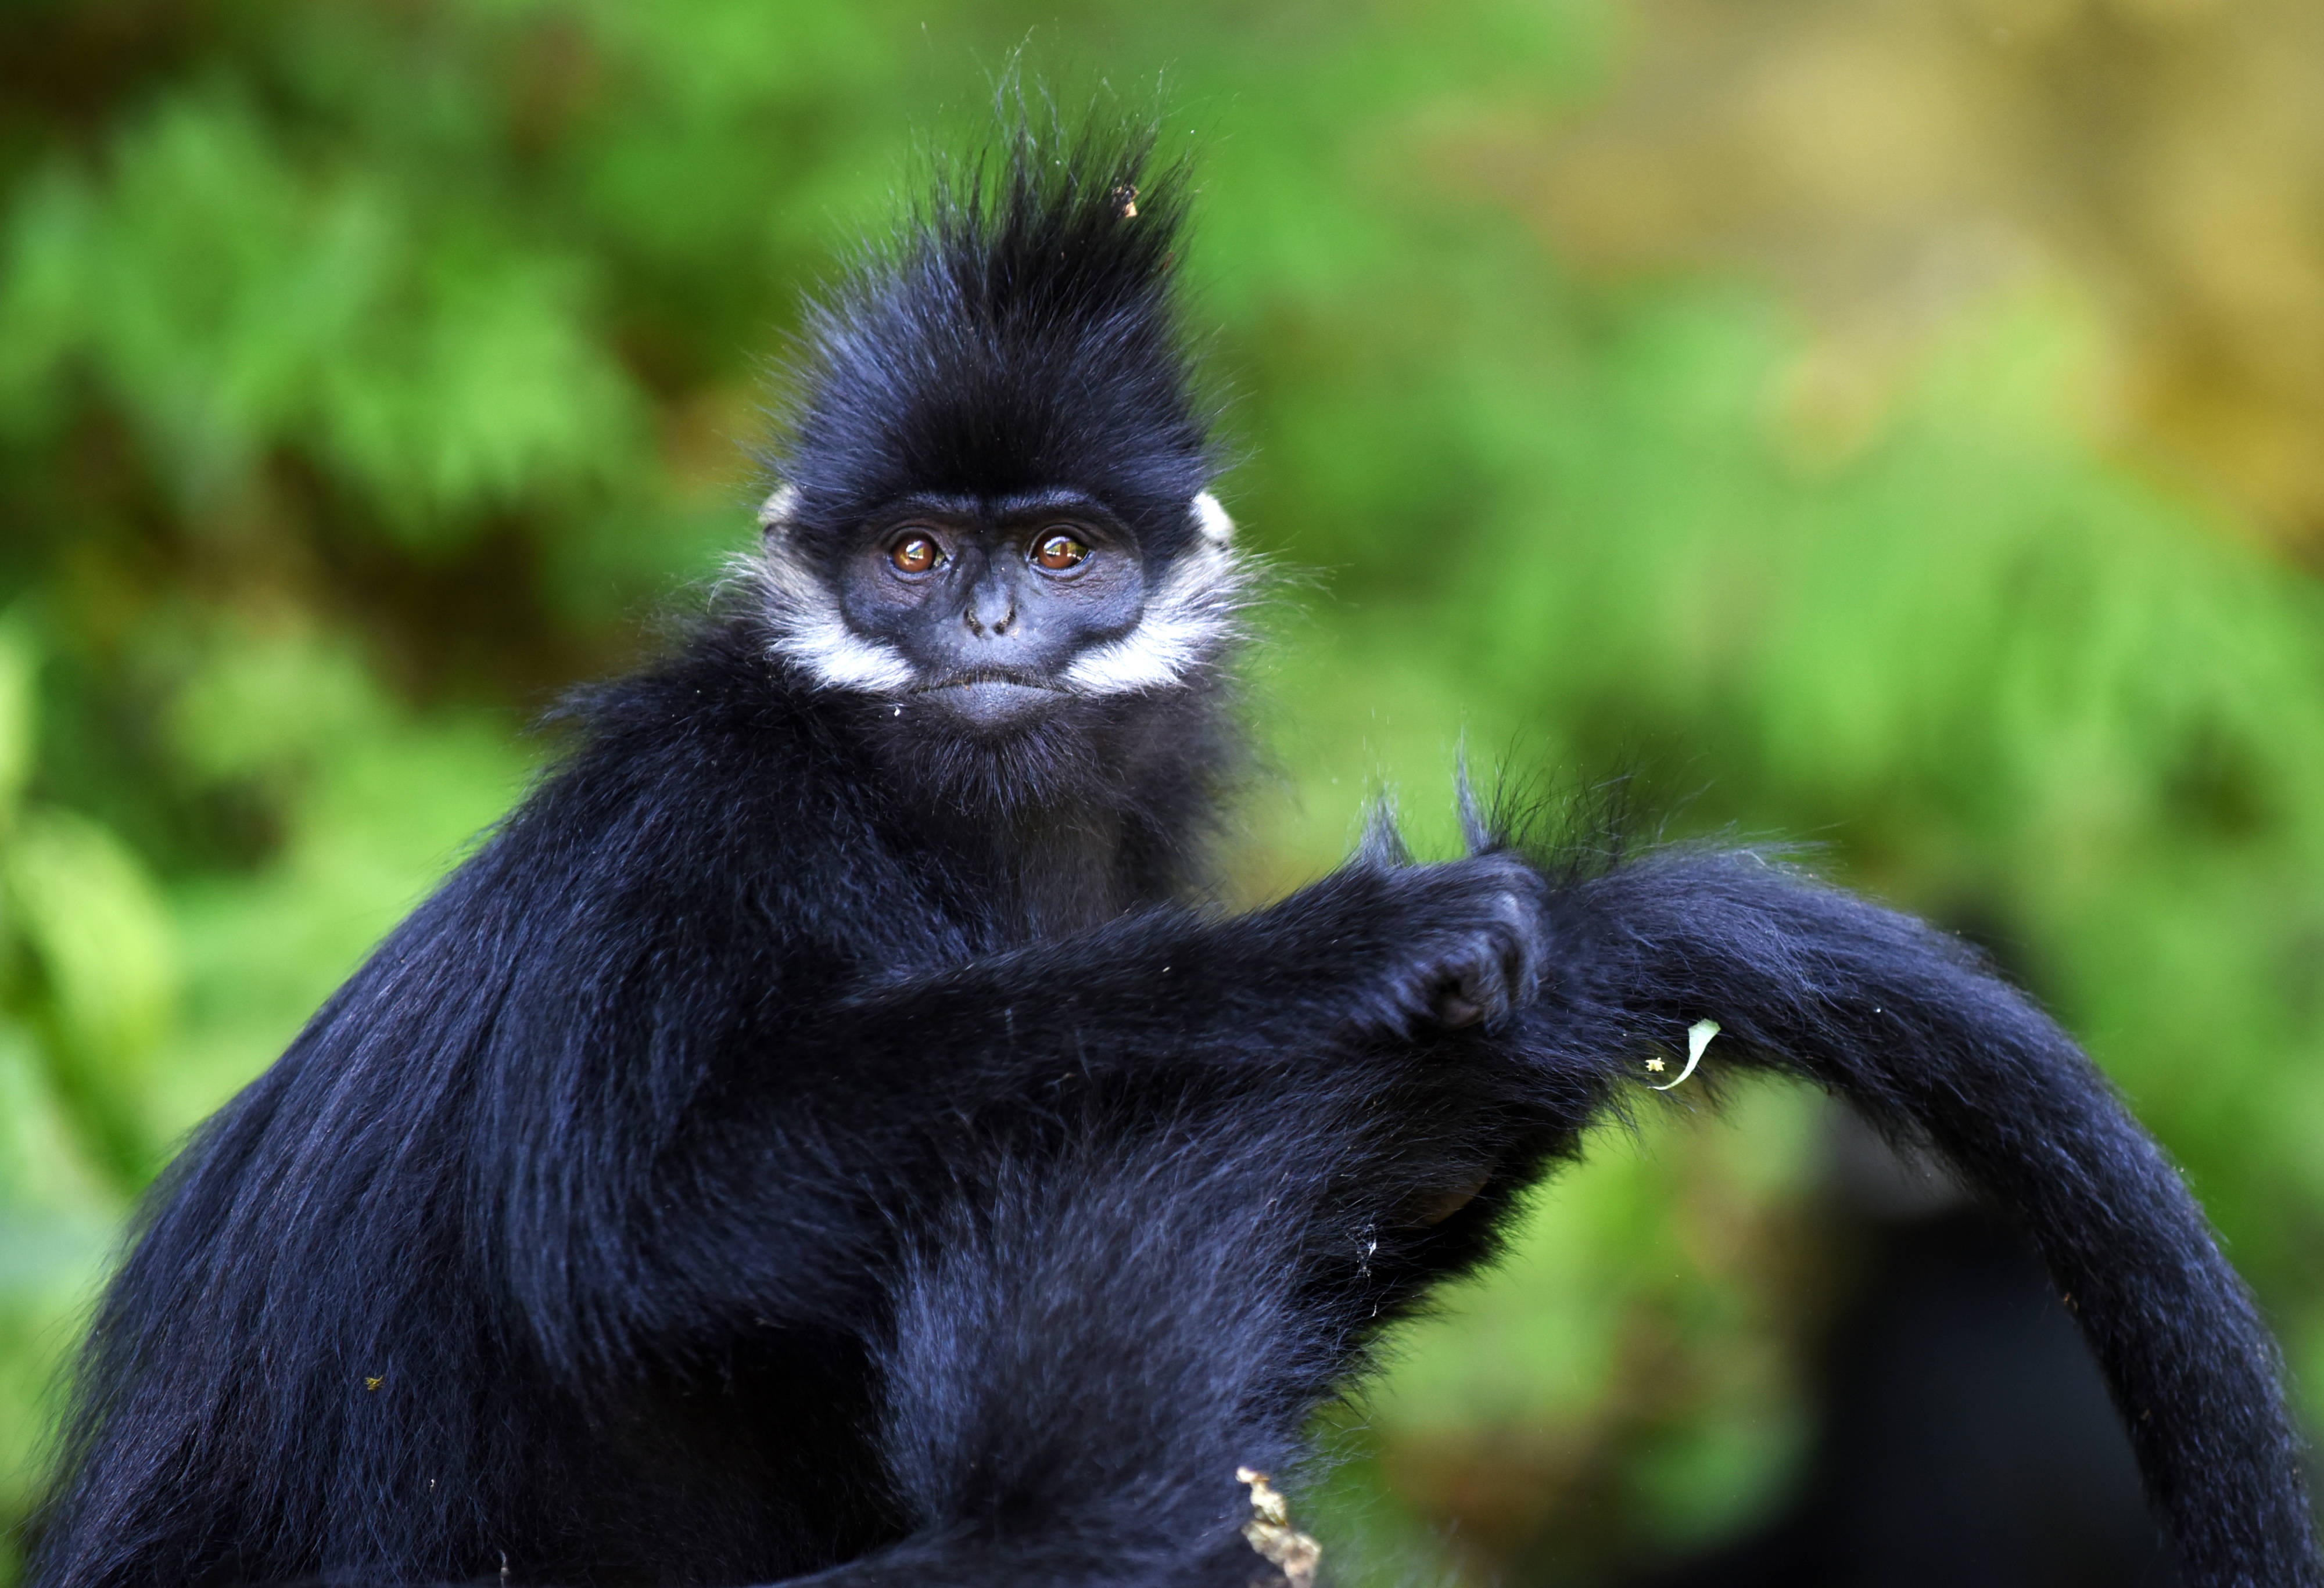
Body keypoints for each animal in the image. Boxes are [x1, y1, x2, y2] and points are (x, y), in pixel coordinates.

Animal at [27, 117, 2315, 1579]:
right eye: (917, 555)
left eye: (1059, 552)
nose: (989, 629)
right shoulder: (701, 819)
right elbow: (637, 1218)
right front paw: (1343, 951)